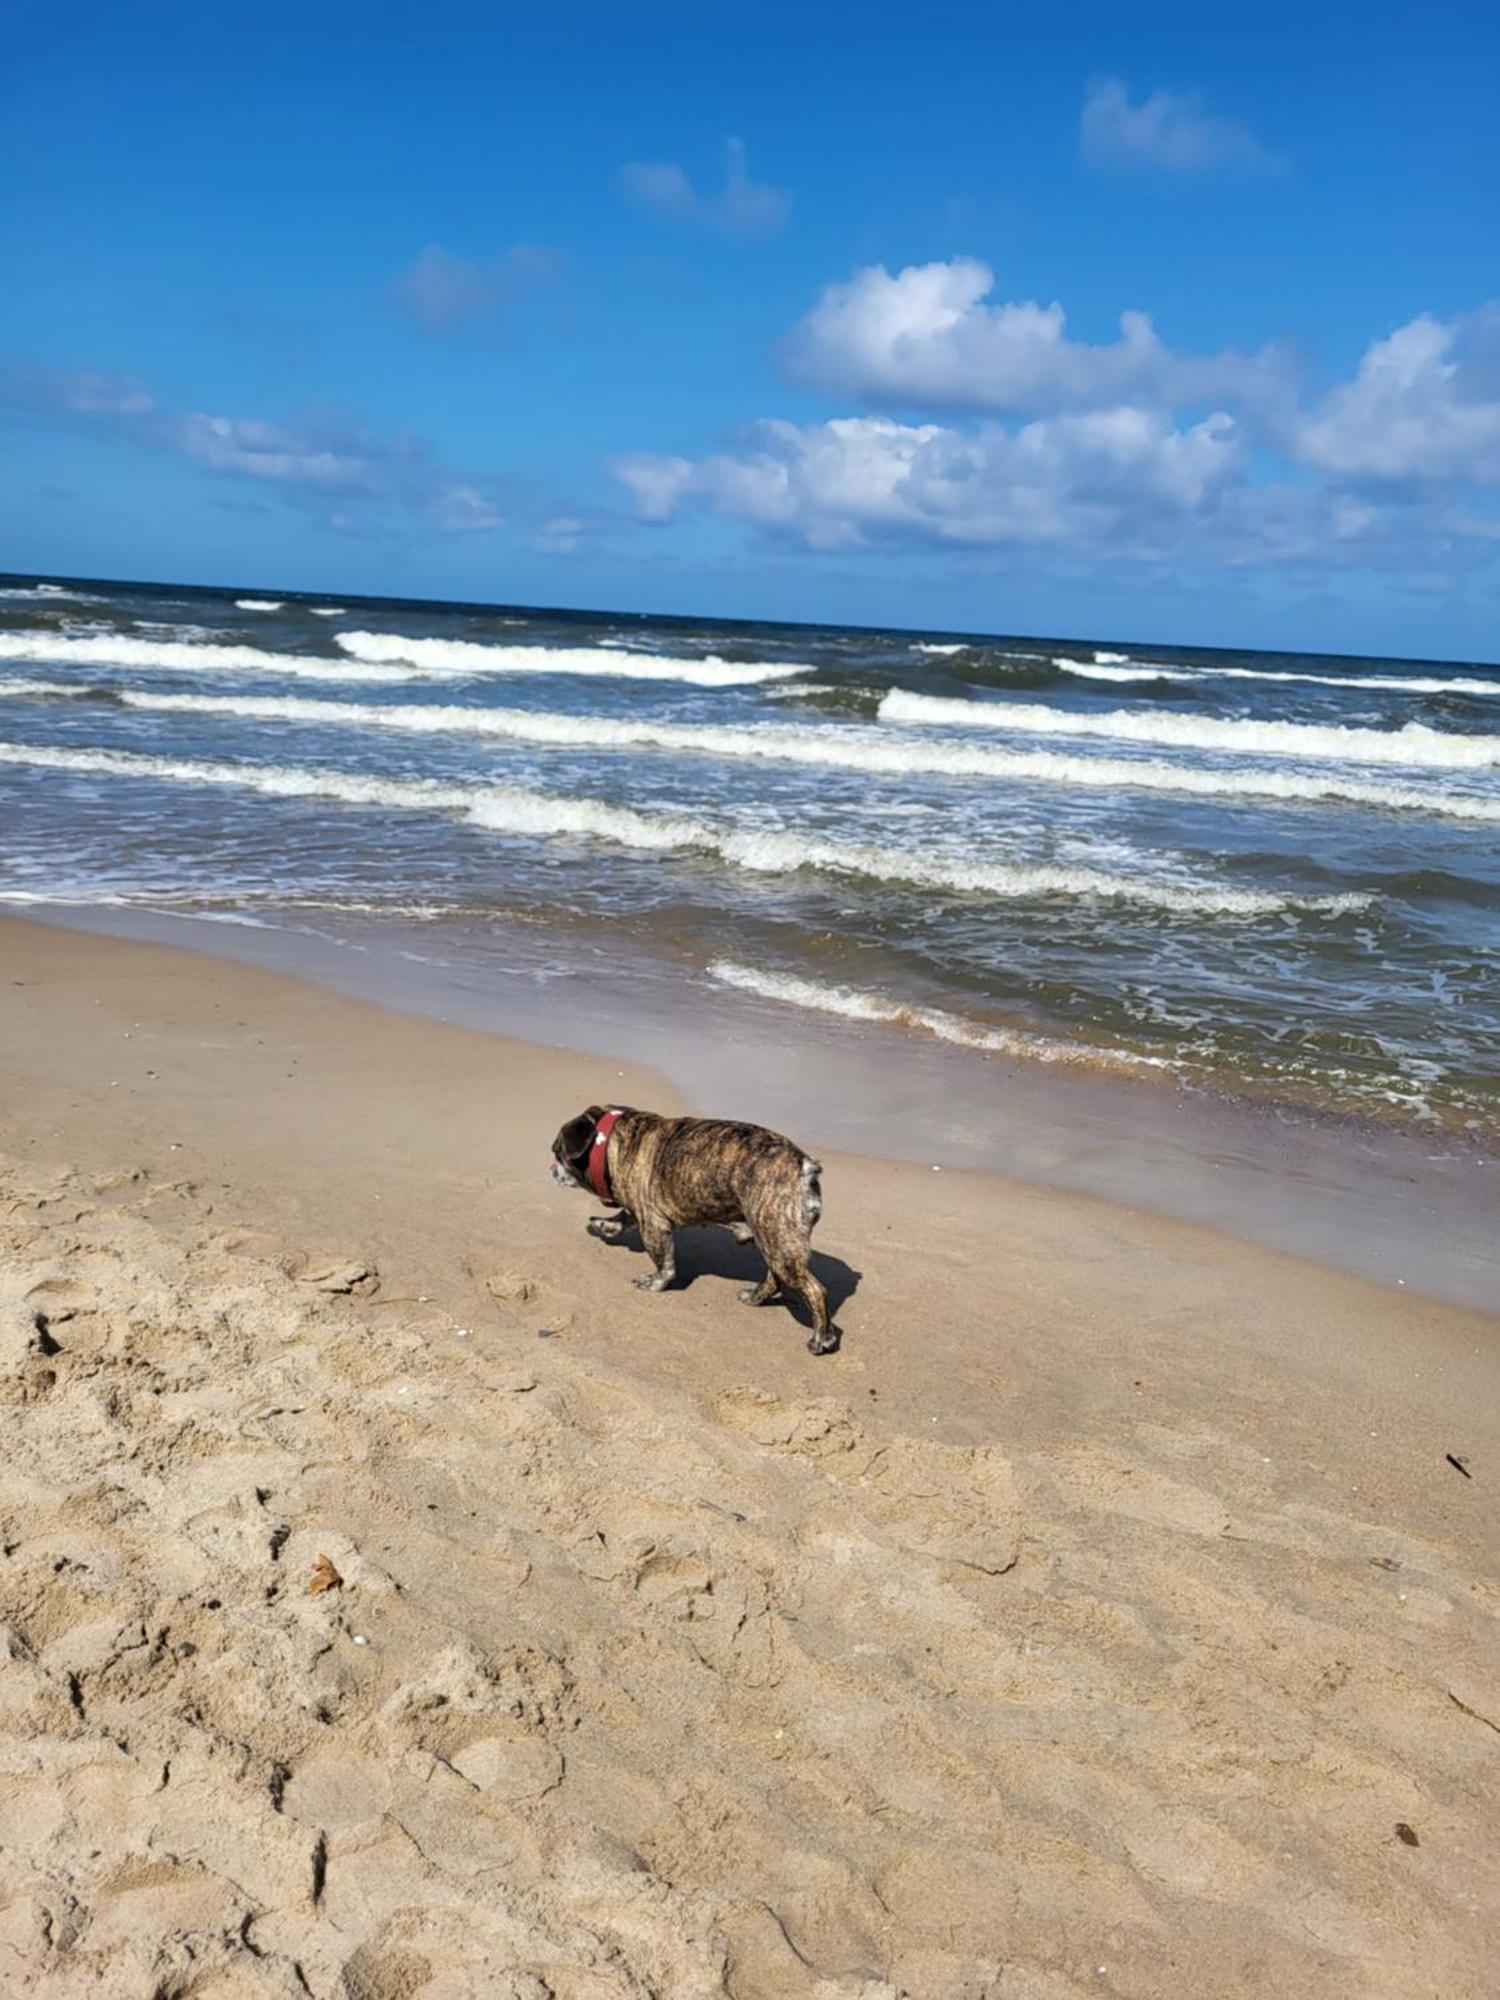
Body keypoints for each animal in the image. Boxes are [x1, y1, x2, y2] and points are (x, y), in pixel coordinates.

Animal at [552, 1104, 840, 1352]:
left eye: (557, 1151)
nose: (551, 1169)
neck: (609, 1143)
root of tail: (805, 1166)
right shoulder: (640, 1212)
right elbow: (623, 1218)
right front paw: (606, 1225)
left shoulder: (653, 1224)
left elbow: (664, 1263)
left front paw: (655, 1282)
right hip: (773, 1241)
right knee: (774, 1277)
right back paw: (756, 1297)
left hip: (779, 1244)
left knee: (815, 1290)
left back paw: (821, 1339)